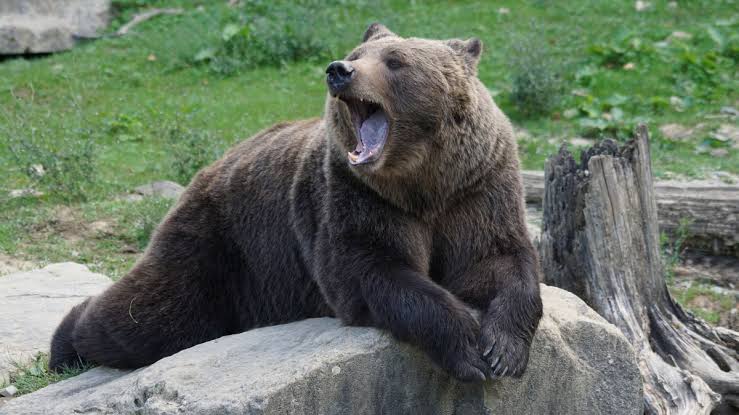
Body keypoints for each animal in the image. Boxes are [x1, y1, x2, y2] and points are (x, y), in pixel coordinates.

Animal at [49, 23, 542, 382]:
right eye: (358, 54)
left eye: (395, 61)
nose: (339, 70)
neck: (420, 182)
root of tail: (210, 167)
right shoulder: (355, 197)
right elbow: (373, 270)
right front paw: (467, 349)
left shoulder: (477, 188)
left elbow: (498, 260)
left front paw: (503, 351)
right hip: (222, 244)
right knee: (154, 315)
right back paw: (65, 344)